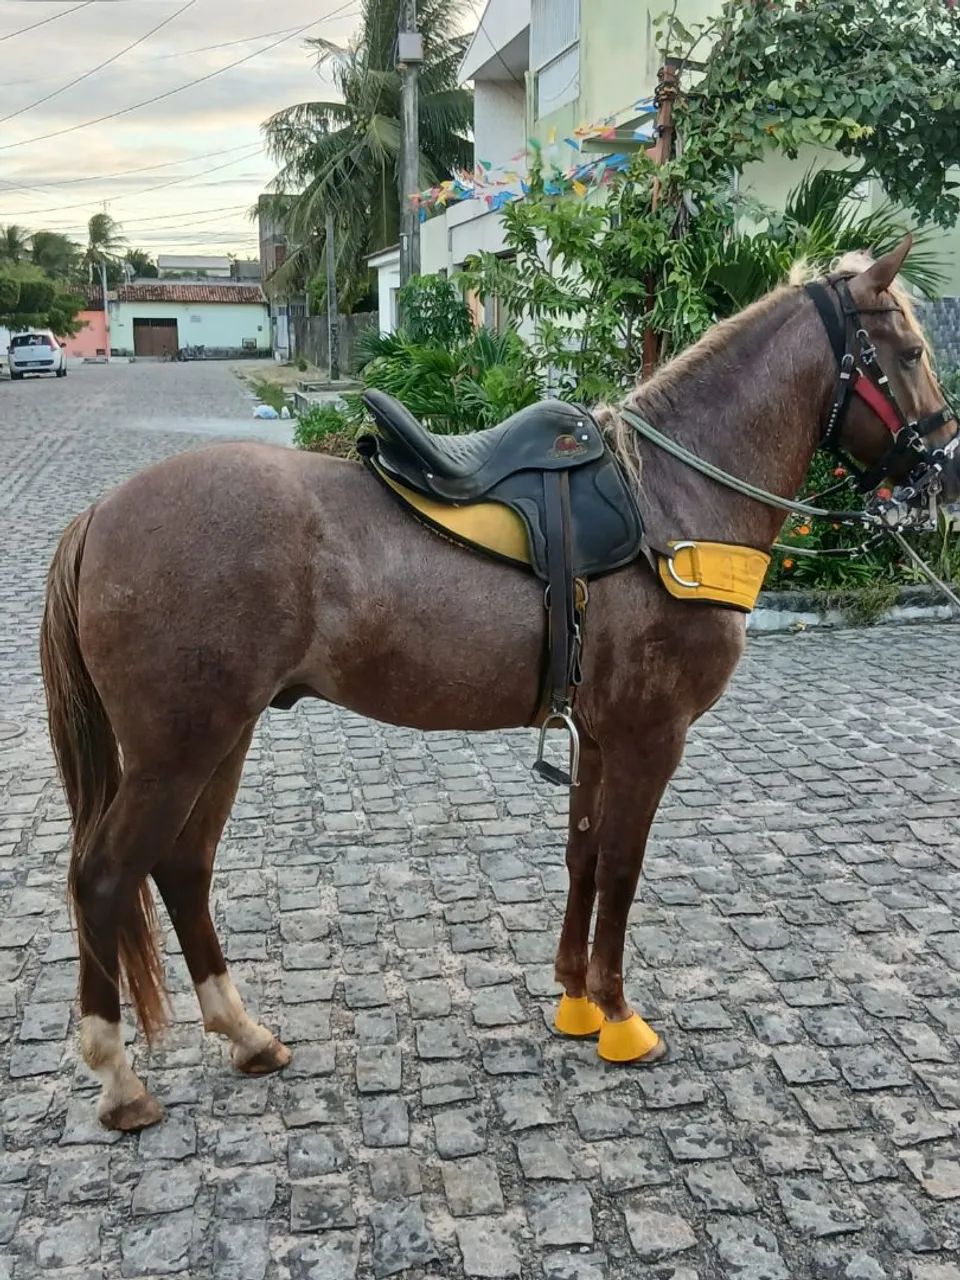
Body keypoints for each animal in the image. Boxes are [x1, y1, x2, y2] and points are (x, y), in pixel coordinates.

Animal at [39, 236, 956, 1131]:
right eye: (910, 352)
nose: (942, 471)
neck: (669, 503)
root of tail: (101, 514)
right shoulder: (652, 737)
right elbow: (622, 865)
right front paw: (620, 1017)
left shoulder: (602, 736)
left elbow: (584, 853)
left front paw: (576, 1001)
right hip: (178, 750)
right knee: (105, 877)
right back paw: (119, 1080)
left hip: (222, 738)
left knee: (183, 868)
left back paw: (247, 1034)